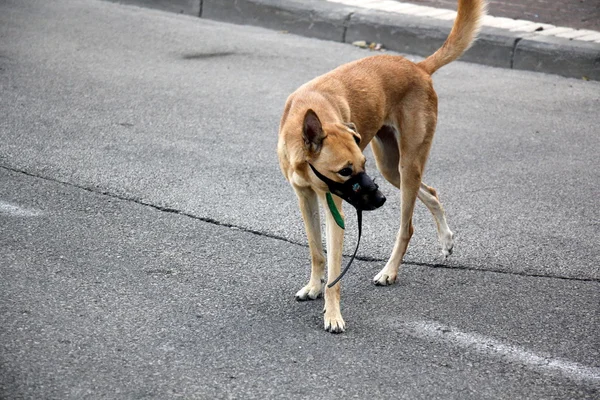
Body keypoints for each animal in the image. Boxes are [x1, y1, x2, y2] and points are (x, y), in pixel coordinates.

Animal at [278, 0, 486, 332]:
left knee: (407, 226)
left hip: (406, 166)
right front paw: (313, 287)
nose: (379, 200)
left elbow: (334, 270)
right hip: (391, 168)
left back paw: (389, 271)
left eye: (360, 165)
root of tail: (418, 67)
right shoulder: (305, 197)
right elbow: (316, 251)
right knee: (432, 192)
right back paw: (445, 239)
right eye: (345, 171)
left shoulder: (333, 205)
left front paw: (332, 314)